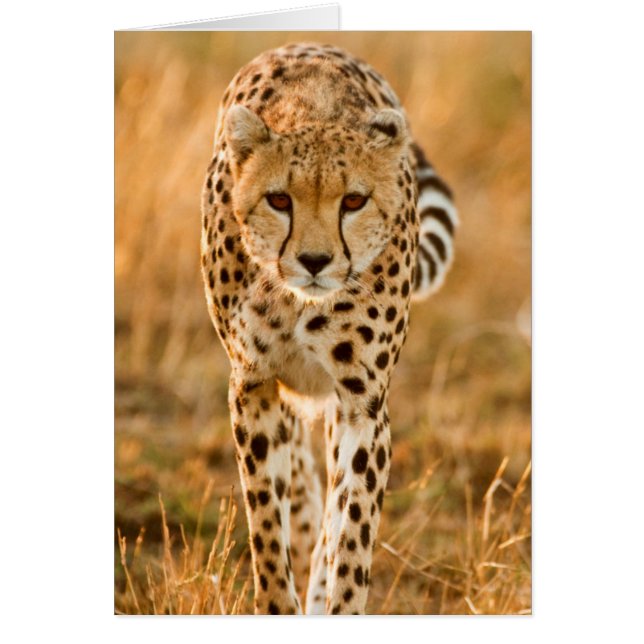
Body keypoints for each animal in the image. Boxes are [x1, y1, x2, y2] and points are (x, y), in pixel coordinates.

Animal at [200, 41, 458, 615]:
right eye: (279, 199)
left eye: (354, 201)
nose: (315, 261)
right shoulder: (251, 383)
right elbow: (266, 524)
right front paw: (279, 599)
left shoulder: (363, 403)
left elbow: (352, 530)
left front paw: (336, 600)